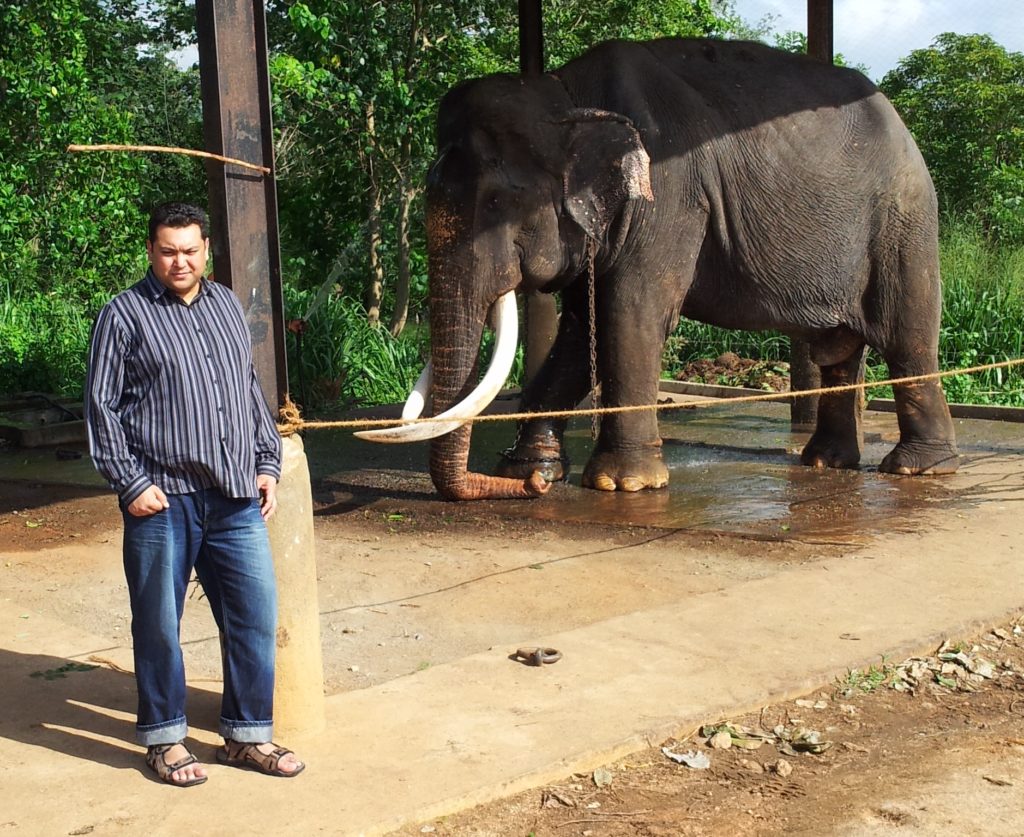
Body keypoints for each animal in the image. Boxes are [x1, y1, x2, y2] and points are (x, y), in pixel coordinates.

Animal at [358, 37, 958, 495]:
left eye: (496, 204)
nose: (531, 492)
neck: (566, 94)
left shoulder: (668, 196)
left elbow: (630, 313)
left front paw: (620, 484)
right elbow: (582, 330)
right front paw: (528, 469)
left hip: (903, 223)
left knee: (906, 339)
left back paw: (916, 469)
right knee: (835, 350)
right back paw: (824, 463)